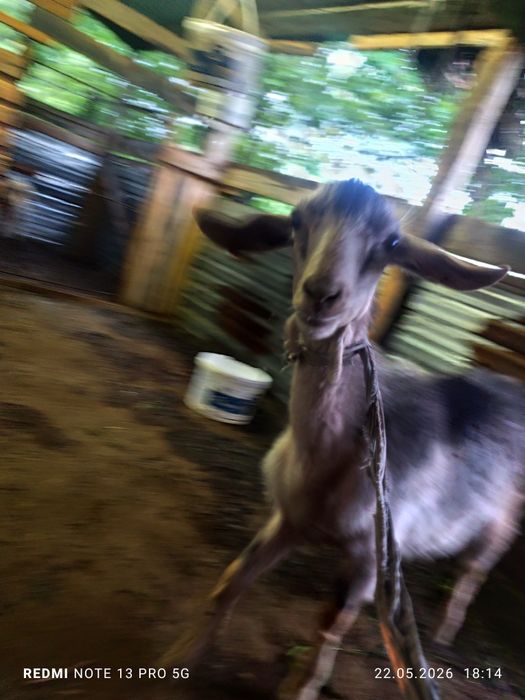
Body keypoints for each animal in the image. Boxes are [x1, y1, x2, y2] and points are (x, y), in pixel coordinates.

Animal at [165, 180, 524, 699]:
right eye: (295, 221)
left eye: (391, 243)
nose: (321, 295)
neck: (327, 457)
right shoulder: (287, 518)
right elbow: (232, 579)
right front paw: (182, 654)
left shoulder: (370, 553)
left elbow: (331, 624)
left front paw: (302, 687)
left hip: (504, 517)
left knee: (476, 570)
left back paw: (445, 630)